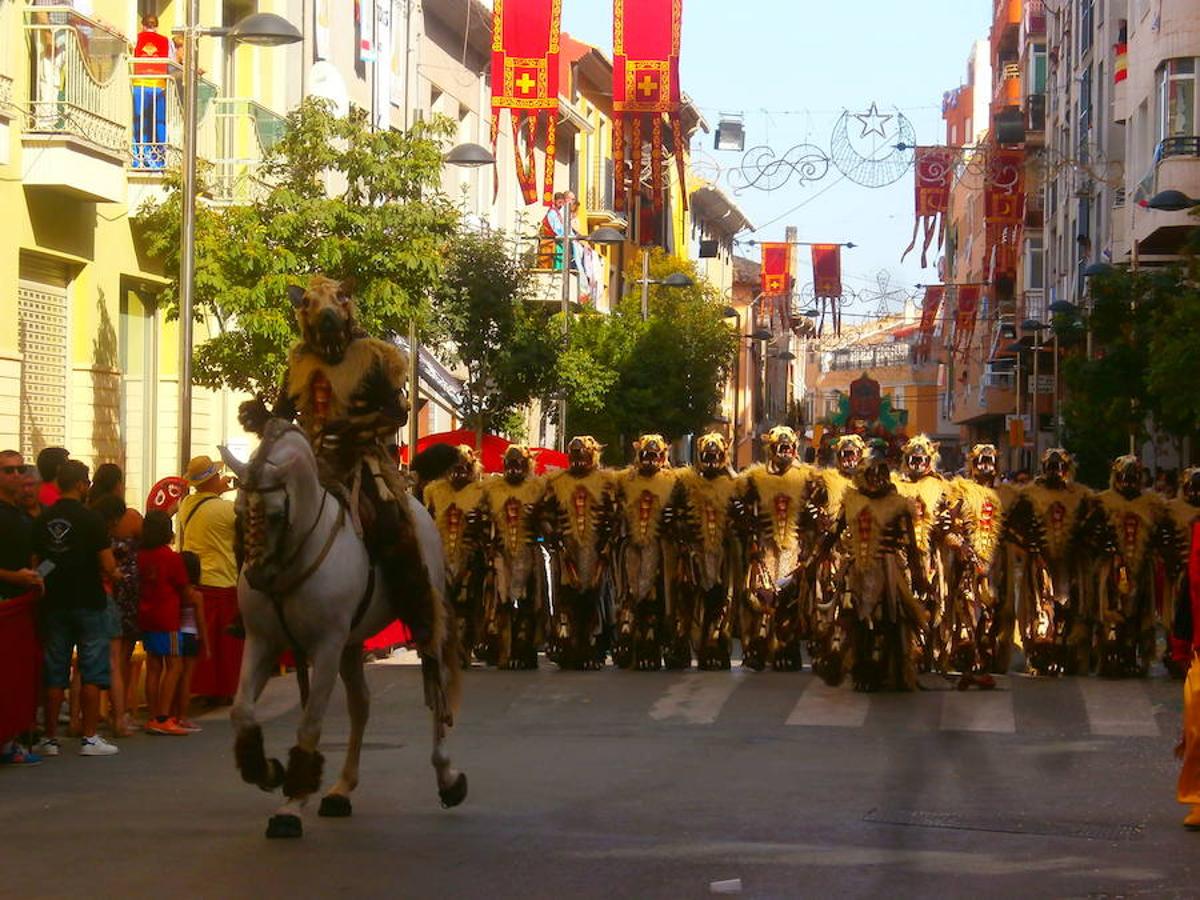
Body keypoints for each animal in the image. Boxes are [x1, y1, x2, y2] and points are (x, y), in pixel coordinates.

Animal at [220, 420, 463, 844]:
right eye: (237, 512)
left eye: (275, 514)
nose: (258, 578)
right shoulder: (263, 642)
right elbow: (242, 711)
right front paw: (266, 770)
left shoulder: (326, 648)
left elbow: (311, 722)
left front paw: (291, 805)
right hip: (353, 643)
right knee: (361, 704)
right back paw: (341, 789)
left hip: (422, 622)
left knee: (436, 689)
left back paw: (447, 777)